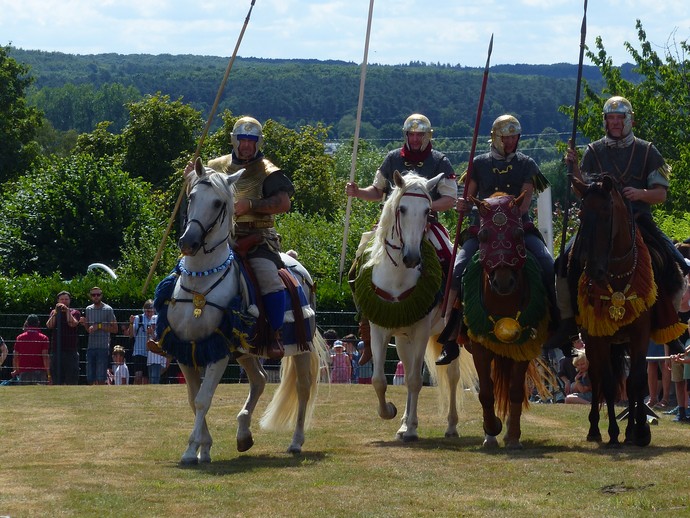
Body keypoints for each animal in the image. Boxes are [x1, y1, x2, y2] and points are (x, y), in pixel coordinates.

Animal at [156, 157, 328, 464]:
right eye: (192, 197)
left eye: (217, 203)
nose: (188, 242)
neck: (200, 283)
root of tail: (295, 263)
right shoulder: (187, 349)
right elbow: (194, 399)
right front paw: (204, 447)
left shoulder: (218, 350)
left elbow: (203, 399)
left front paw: (191, 449)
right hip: (246, 350)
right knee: (259, 380)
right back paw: (243, 433)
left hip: (300, 345)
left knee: (302, 388)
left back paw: (296, 442)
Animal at [352, 174, 476, 442]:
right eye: (402, 208)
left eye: (428, 211)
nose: (411, 257)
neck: (398, 275)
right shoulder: (380, 330)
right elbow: (379, 380)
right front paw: (390, 413)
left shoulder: (420, 332)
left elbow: (415, 381)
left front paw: (410, 427)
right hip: (402, 338)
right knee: (408, 370)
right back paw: (404, 424)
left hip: (447, 336)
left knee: (451, 377)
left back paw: (450, 425)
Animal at [460, 193, 552, 448]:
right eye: (483, 235)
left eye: (518, 233)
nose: (503, 282)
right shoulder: (480, 347)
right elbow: (486, 392)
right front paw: (492, 429)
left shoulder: (524, 346)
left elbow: (515, 391)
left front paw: (512, 436)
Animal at [568, 176, 660, 446]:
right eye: (581, 213)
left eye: (606, 213)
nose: (593, 271)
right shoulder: (598, 338)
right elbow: (608, 384)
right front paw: (612, 432)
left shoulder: (640, 335)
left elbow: (636, 381)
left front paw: (638, 430)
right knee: (597, 378)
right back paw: (594, 429)